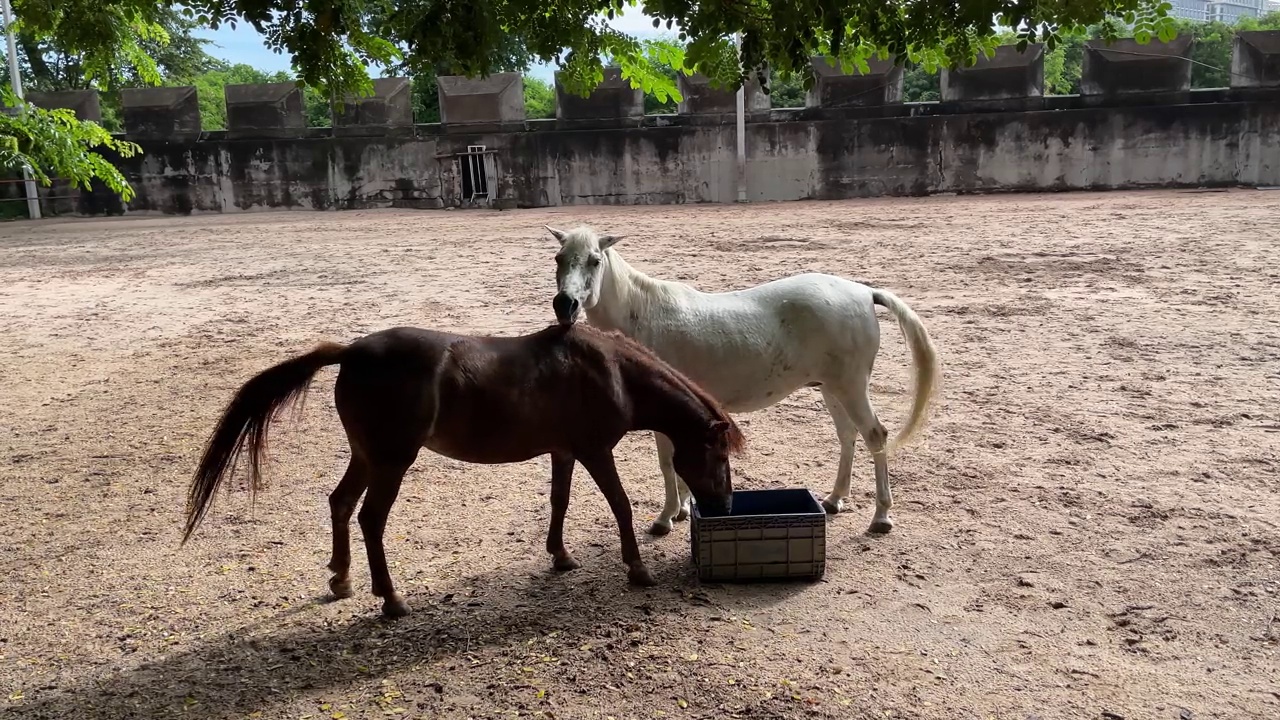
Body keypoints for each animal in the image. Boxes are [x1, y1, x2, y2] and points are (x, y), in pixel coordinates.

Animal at [179, 322, 742, 614]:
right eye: (718, 456)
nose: (723, 504)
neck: (610, 370)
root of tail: (352, 352)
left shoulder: (563, 452)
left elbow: (559, 502)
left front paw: (560, 556)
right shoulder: (594, 451)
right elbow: (621, 507)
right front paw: (638, 568)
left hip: (367, 456)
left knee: (340, 504)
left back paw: (341, 580)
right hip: (392, 461)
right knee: (370, 519)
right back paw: (391, 600)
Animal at [542, 224, 942, 532]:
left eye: (595, 261)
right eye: (559, 259)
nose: (566, 306)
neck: (643, 315)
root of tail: (863, 292)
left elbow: (667, 462)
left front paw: (666, 518)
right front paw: (683, 509)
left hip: (851, 388)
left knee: (875, 436)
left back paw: (882, 517)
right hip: (833, 389)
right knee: (848, 436)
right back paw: (834, 499)